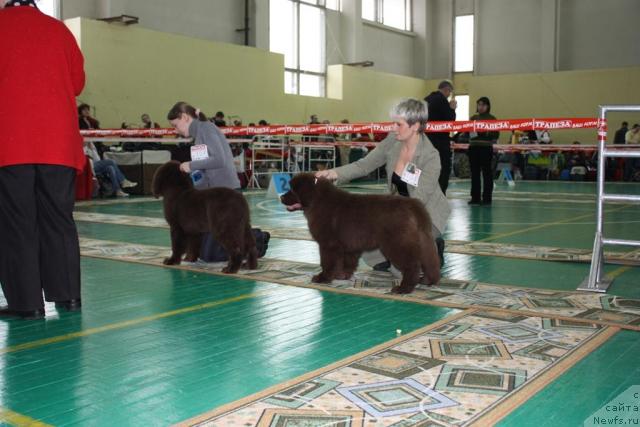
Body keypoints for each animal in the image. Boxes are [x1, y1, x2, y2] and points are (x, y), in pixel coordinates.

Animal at [280, 174, 440, 294]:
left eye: (292, 190)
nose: (281, 197)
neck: (317, 201)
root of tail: (413, 205)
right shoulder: (347, 245)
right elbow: (346, 262)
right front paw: (342, 276)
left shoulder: (328, 244)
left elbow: (327, 262)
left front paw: (323, 278)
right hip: (422, 240)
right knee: (429, 261)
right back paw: (427, 281)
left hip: (397, 243)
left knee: (412, 265)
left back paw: (403, 288)